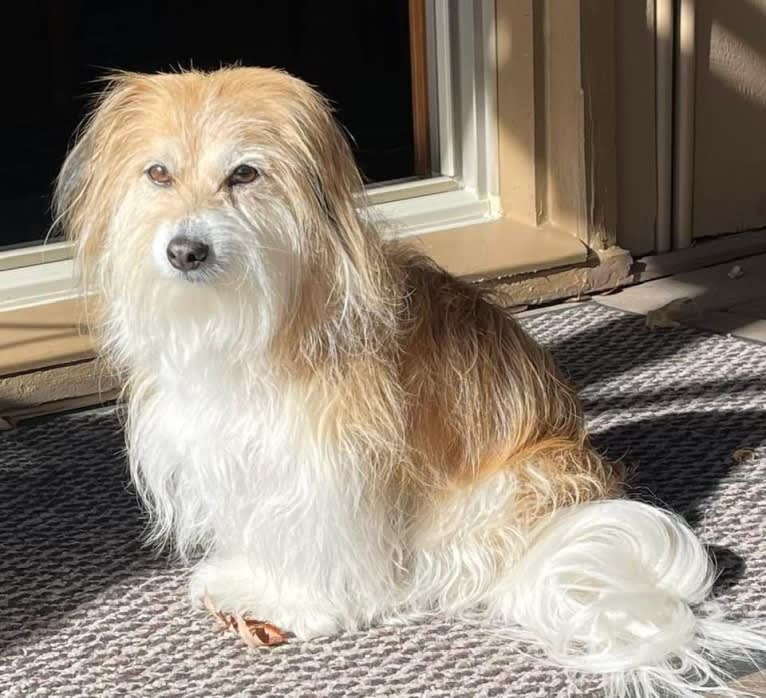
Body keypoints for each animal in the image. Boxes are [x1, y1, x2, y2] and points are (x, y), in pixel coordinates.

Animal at [55, 66, 766, 696]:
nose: (186, 250)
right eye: (158, 173)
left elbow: (320, 538)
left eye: (244, 174)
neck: (247, 313)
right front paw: (247, 577)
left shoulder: (329, 461)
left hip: (501, 487)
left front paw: (305, 606)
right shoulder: (235, 452)